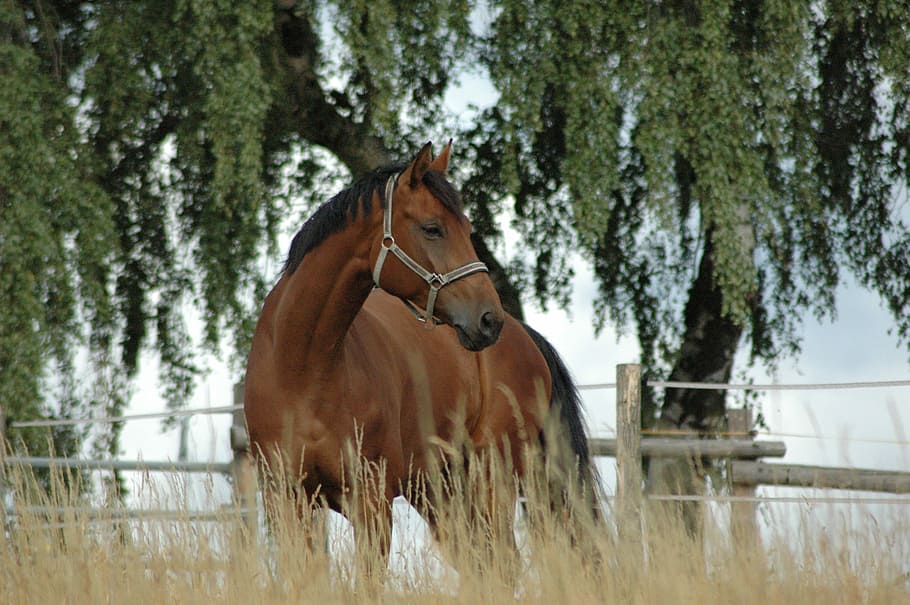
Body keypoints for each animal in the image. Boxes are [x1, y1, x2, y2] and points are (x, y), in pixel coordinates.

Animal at [243, 141, 598, 577]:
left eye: (467, 228)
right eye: (433, 228)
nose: (488, 319)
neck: (304, 367)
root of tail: (524, 336)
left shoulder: (372, 501)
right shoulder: (285, 499)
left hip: (489, 479)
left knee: (502, 563)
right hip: (440, 492)